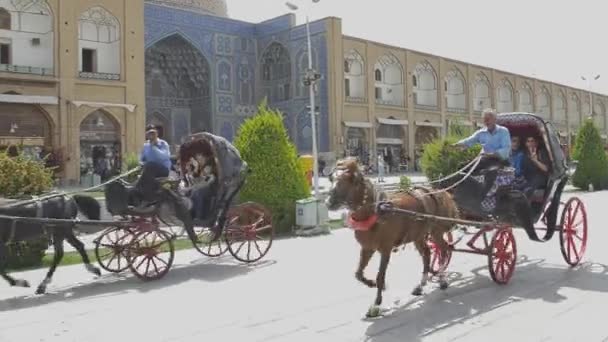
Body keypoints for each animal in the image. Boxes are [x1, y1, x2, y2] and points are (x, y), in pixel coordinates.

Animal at [326, 159, 458, 316]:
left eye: (351, 179)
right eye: (331, 177)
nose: (329, 202)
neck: (377, 213)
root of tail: (439, 192)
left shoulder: (386, 249)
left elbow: (380, 276)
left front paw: (376, 302)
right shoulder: (367, 248)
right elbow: (358, 273)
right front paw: (371, 283)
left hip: (436, 231)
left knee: (444, 250)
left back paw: (442, 279)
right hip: (418, 236)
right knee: (427, 254)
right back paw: (421, 285)